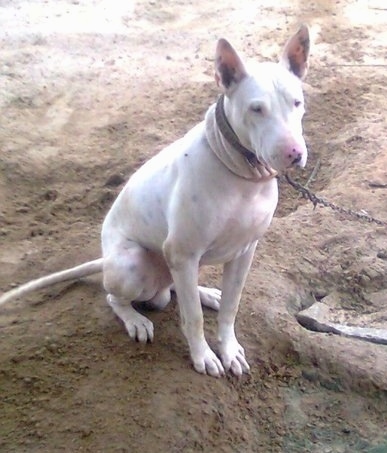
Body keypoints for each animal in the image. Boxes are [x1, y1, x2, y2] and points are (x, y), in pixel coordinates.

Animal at [0, 26, 310, 376]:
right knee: (116, 298)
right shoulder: (183, 251)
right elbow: (193, 318)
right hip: (134, 264)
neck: (241, 174)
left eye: (297, 102)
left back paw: (205, 293)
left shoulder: (244, 251)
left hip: (175, 265)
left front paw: (229, 350)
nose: (294, 153)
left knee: (178, 289)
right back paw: (136, 320)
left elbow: (231, 306)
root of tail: (105, 259)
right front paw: (203, 356)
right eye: (256, 109)